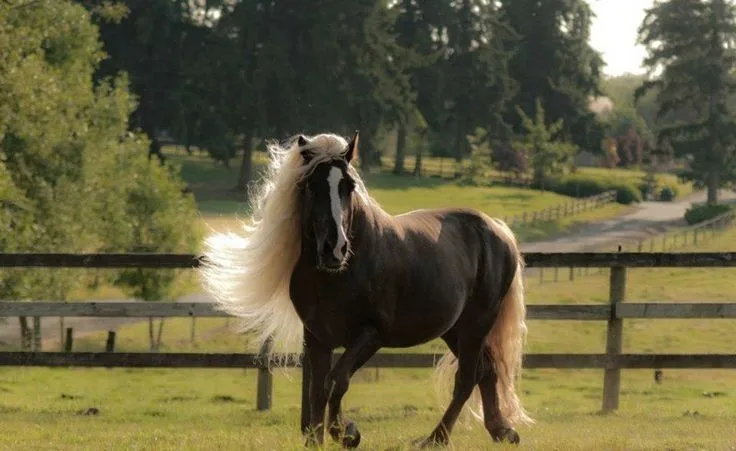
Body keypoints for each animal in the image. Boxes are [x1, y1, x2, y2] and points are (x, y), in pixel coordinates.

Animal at [199, 131, 533, 448]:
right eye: (310, 186)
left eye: (348, 186)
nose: (334, 248)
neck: (338, 275)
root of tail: (497, 229)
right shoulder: (317, 337)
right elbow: (317, 388)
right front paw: (316, 440)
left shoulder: (370, 335)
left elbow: (337, 381)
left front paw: (346, 433)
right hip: (455, 328)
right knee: (486, 371)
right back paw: (501, 431)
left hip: (477, 323)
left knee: (466, 378)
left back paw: (435, 439)